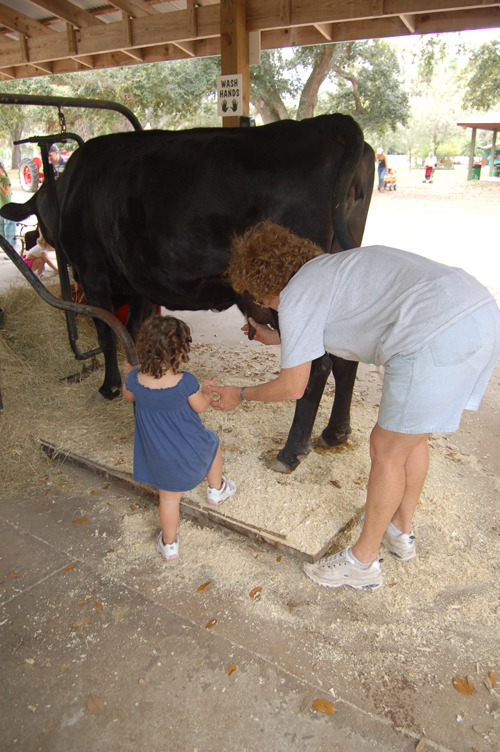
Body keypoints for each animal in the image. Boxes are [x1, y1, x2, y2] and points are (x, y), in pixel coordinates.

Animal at [1, 113, 374, 470]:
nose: (39, 237)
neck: (70, 190)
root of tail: (325, 123)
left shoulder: (94, 274)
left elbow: (107, 334)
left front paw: (108, 388)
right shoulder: (137, 282)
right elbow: (133, 333)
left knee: (318, 366)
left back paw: (290, 452)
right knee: (345, 360)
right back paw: (335, 433)